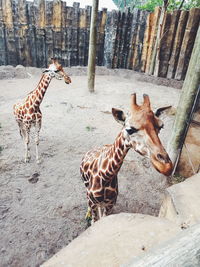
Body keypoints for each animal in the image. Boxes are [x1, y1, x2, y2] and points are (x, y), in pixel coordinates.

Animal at [80, 94, 173, 224]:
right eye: (130, 129)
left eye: (161, 126)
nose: (166, 166)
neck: (106, 176)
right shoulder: (93, 201)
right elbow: (95, 220)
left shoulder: (110, 204)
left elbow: (103, 219)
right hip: (86, 188)